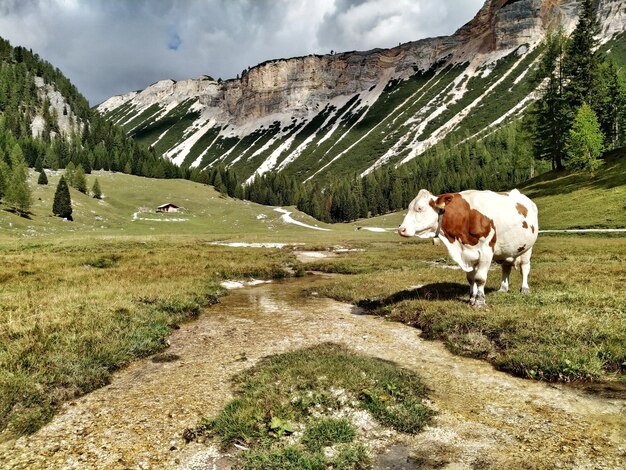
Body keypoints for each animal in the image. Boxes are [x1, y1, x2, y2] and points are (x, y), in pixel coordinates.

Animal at [400, 189, 536, 306]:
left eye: (420, 208)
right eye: (409, 208)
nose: (401, 229)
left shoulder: (486, 250)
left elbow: (480, 278)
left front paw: (480, 301)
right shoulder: (468, 253)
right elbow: (471, 278)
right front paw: (471, 298)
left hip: (528, 248)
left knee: (524, 268)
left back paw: (524, 289)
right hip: (506, 250)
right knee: (506, 268)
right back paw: (503, 288)